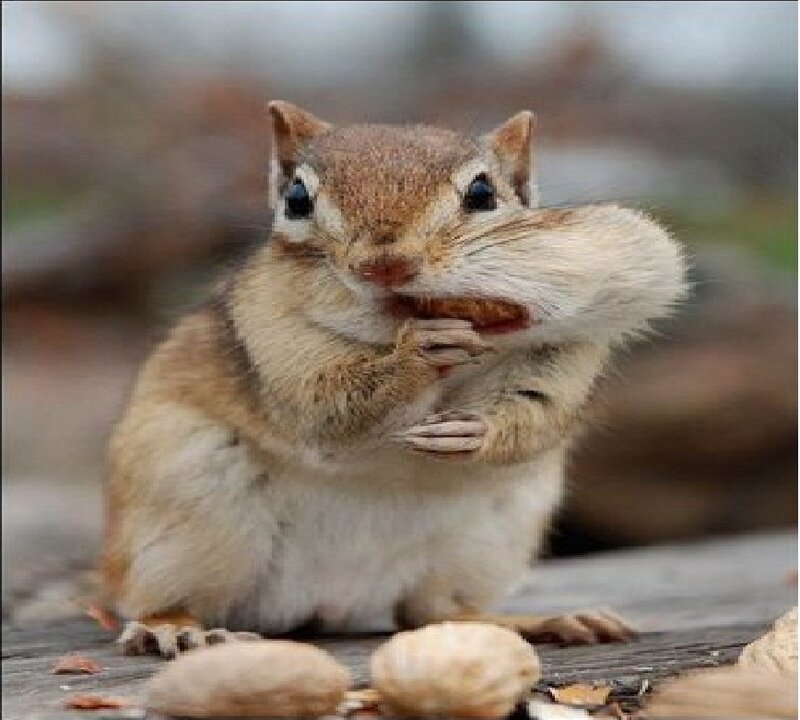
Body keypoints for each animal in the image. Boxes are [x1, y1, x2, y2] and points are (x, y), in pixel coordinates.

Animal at [100, 101, 686, 657]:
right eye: (296, 199)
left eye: (482, 193)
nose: (385, 264)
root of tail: (333, 599)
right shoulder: (270, 333)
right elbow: (324, 406)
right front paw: (418, 352)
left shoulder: (565, 352)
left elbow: (538, 410)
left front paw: (472, 430)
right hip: (189, 514)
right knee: (166, 599)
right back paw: (174, 629)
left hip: (487, 537)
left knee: (435, 613)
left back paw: (545, 621)